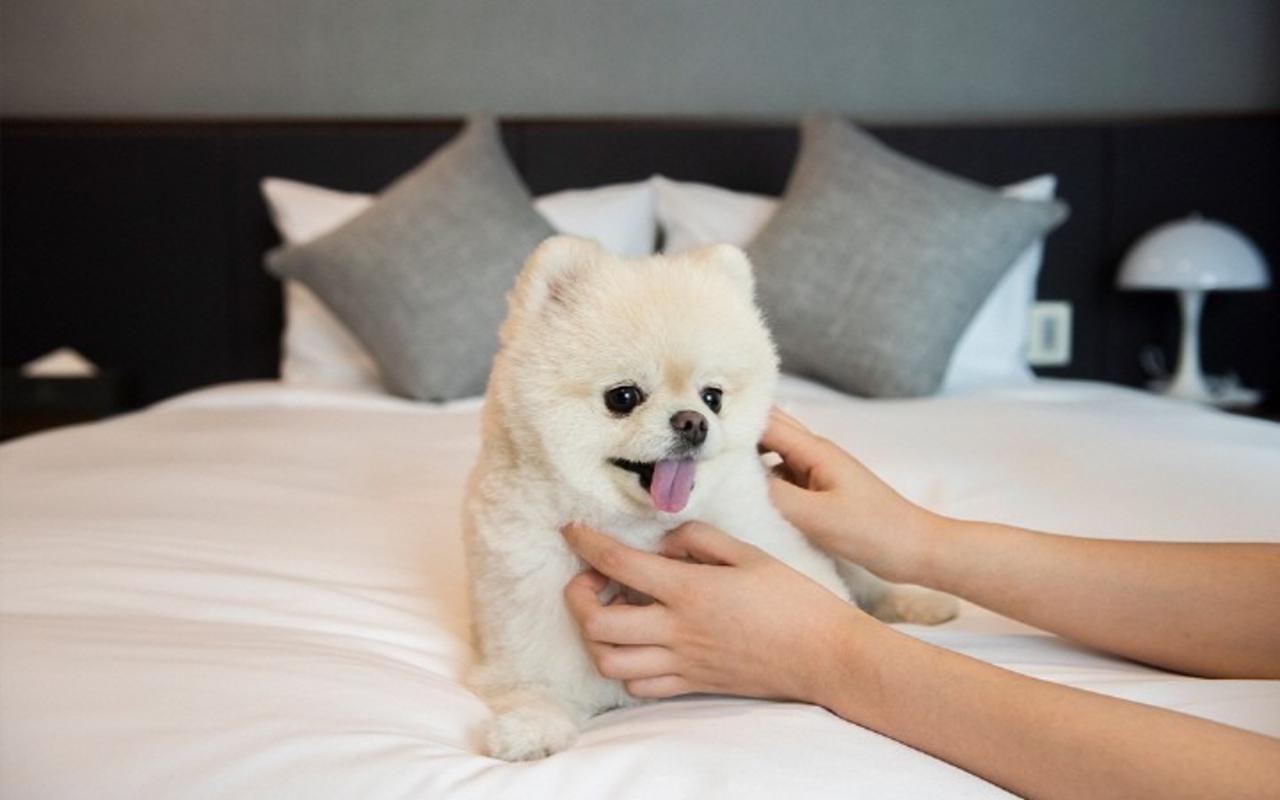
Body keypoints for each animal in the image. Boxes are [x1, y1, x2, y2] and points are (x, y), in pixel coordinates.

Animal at [463, 236, 956, 761]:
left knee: (873, 585)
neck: (639, 528)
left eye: (712, 397)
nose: (693, 421)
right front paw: (529, 730)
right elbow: (536, 685)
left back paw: (924, 604)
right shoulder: (527, 593)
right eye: (623, 396)